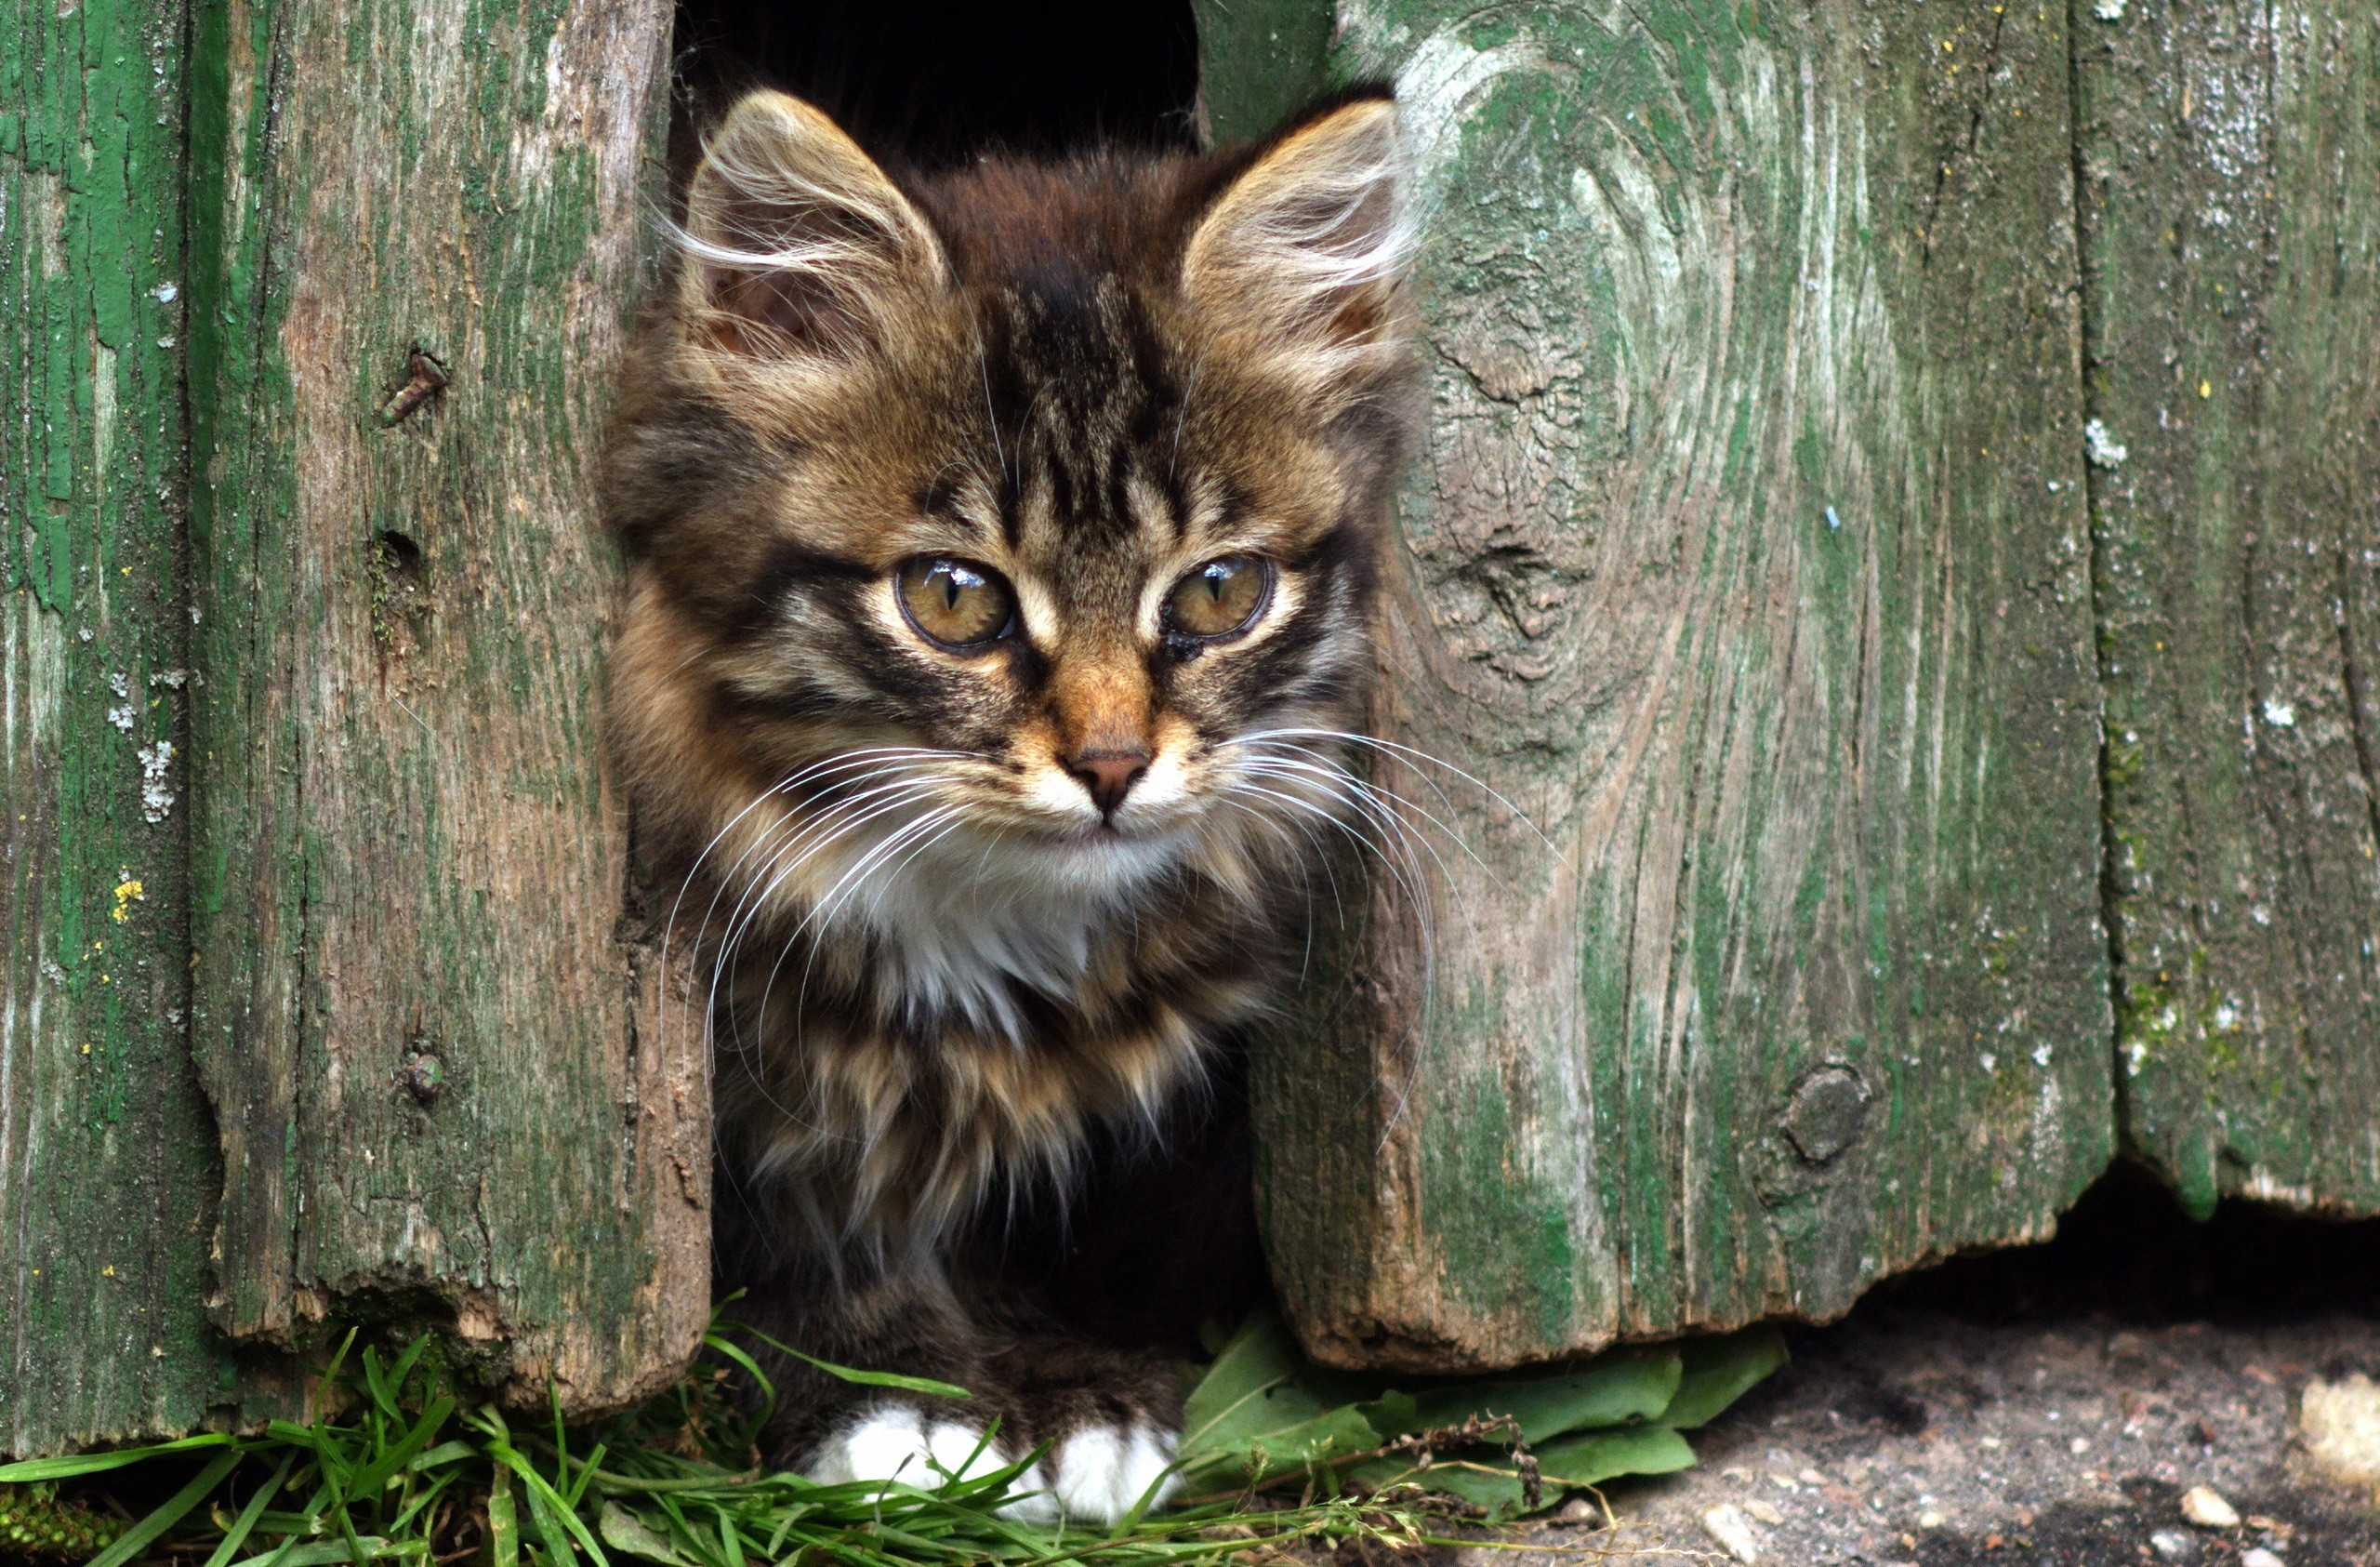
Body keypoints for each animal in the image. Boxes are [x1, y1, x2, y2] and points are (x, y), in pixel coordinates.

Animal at [604, 82, 1408, 1514]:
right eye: (953, 597)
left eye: (1219, 591)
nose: (1111, 765)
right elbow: (782, 1260)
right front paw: (892, 1403)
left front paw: (1076, 1390)